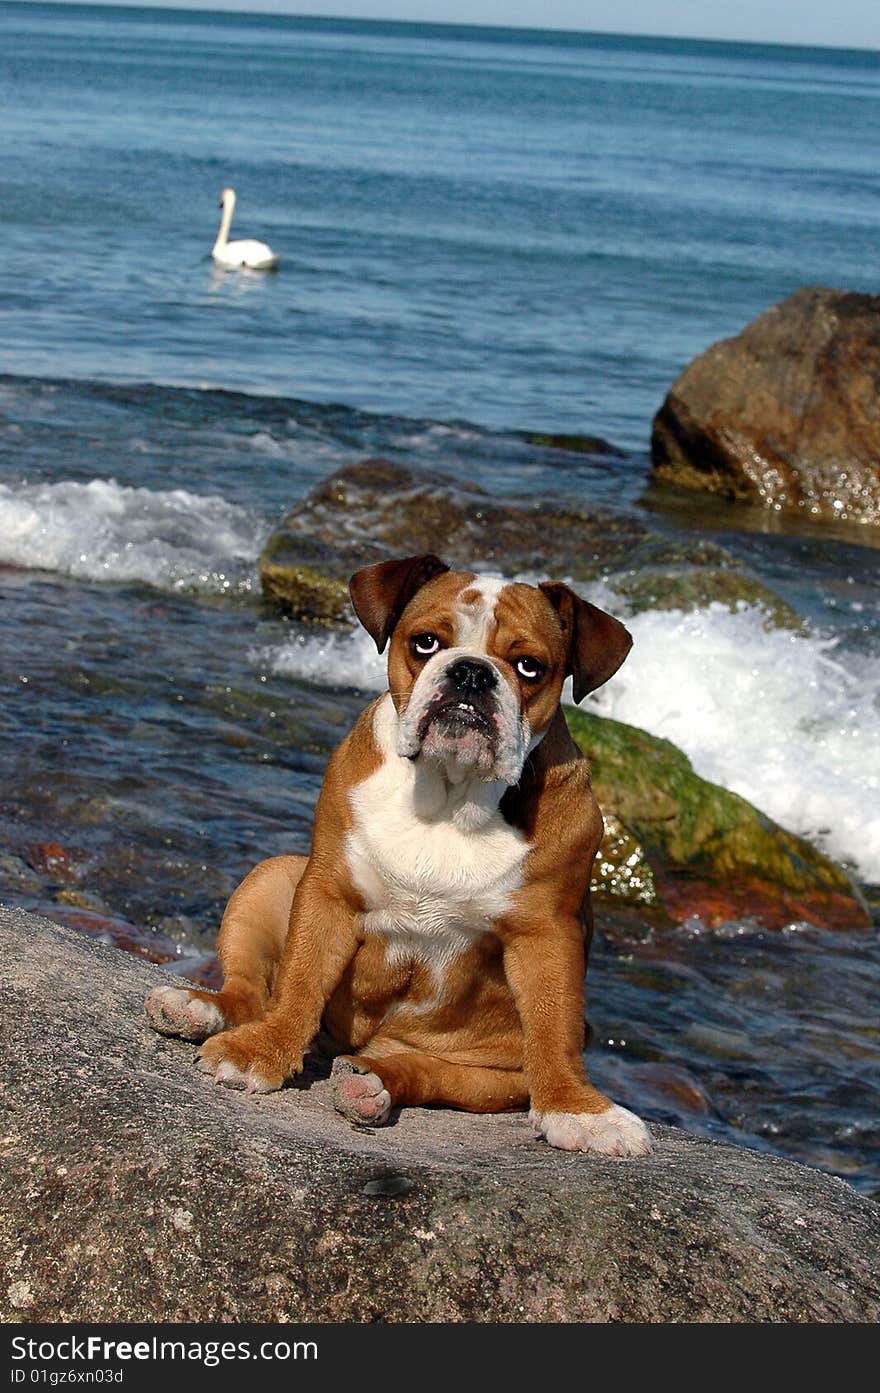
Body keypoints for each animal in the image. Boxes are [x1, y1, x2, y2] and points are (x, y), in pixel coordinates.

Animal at [146, 551, 654, 1153]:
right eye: (426, 643)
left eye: (530, 667)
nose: (471, 672)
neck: (448, 793)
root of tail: (357, 1049)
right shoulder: (327, 892)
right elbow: (298, 981)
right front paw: (259, 1052)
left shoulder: (547, 933)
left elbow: (555, 1024)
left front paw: (578, 1111)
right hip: (271, 877)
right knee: (252, 991)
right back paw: (198, 1007)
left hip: (495, 1072)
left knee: (433, 1073)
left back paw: (373, 1085)